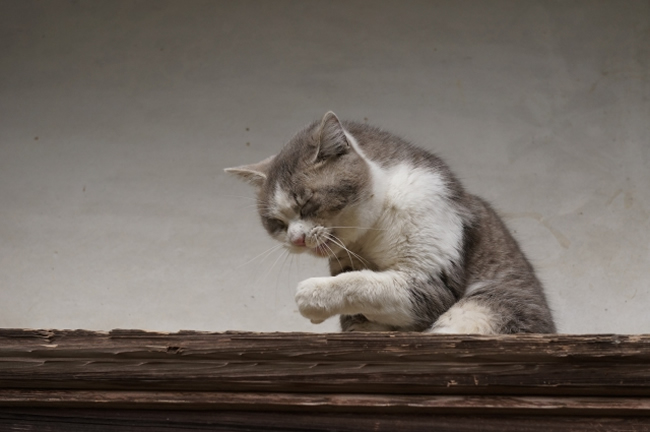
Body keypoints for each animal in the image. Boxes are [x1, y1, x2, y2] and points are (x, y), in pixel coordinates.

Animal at [225, 111, 556, 334]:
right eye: (276, 222)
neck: (371, 237)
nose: (296, 239)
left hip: (484, 306)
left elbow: (362, 283)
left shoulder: (430, 277)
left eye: (306, 203)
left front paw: (312, 297)